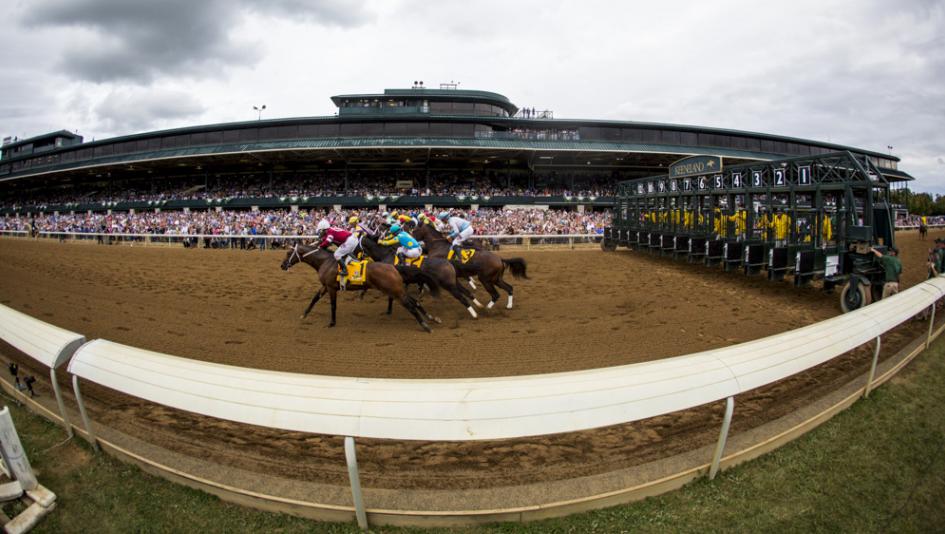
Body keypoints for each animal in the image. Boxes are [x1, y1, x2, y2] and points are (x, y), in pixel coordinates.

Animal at [280, 245, 438, 332]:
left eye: (288, 253)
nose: (282, 265)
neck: (326, 261)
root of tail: (393, 267)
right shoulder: (325, 286)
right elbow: (314, 299)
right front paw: (304, 314)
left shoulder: (331, 288)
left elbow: (333, 305)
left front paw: (332, 323)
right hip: (396, 289)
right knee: (414, 301)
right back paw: (432, 318)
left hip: (394, 290)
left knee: (410, 305)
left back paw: (425, 325)